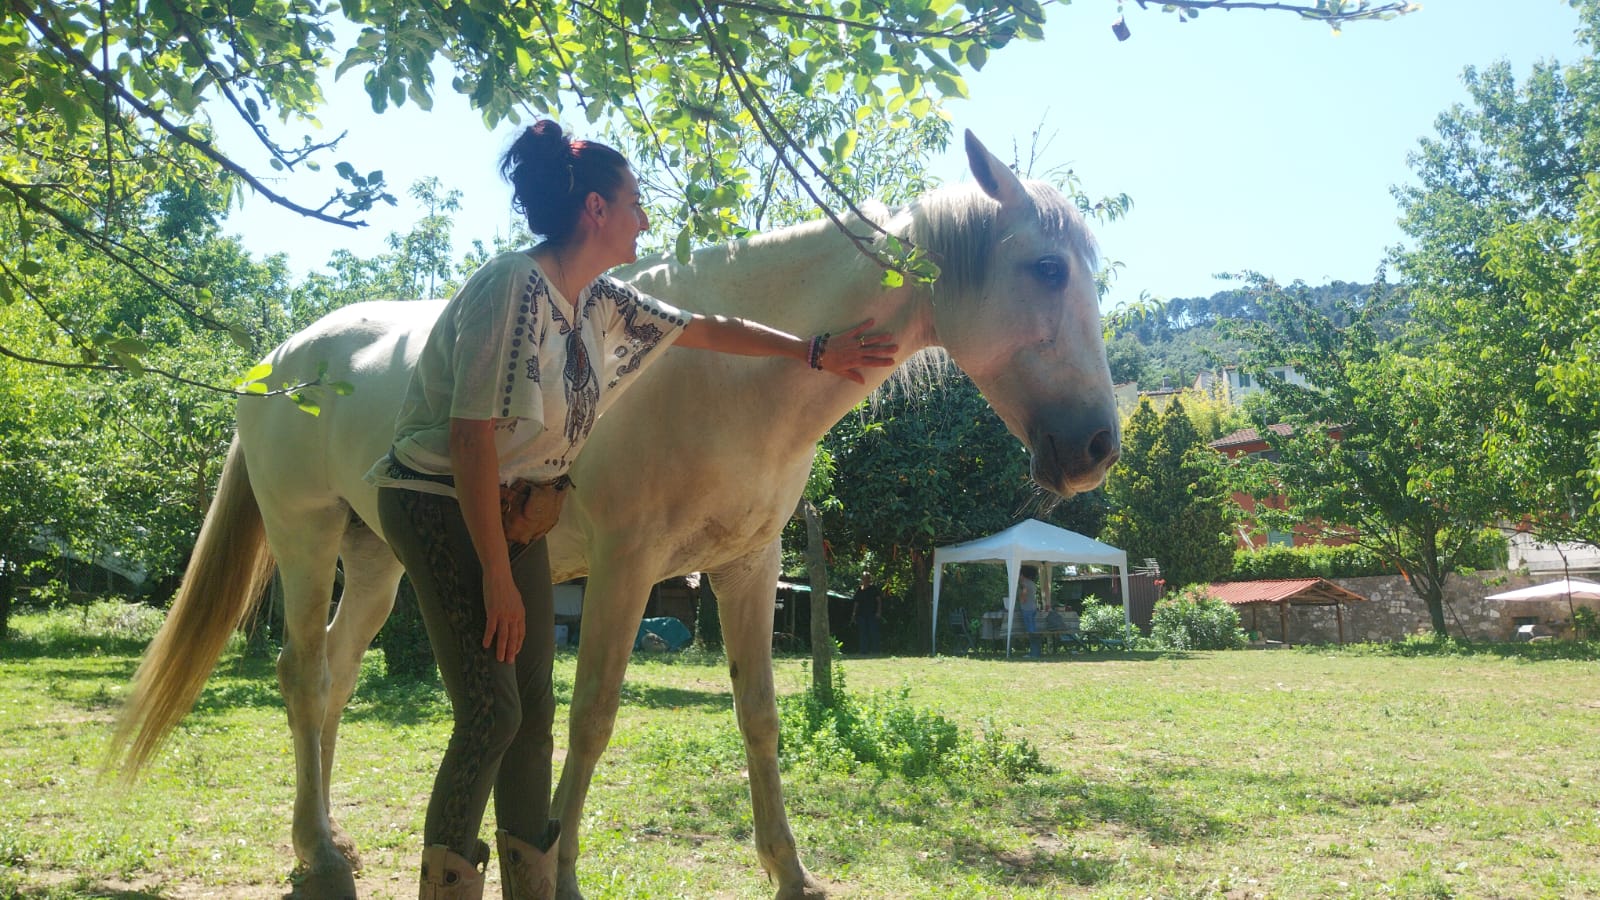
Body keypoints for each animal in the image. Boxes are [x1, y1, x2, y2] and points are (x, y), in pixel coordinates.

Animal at [109, 131, 1120, 899]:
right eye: (1045, 267)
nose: (1098, 447)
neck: (724, 378)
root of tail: (281, 357)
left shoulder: (748, 568)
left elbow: (760, 717)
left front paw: (791, 874)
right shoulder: (628, 569)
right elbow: (592, 716)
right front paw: (561, 871)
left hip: (381, 563)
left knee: (334, 680)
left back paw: (326, 839)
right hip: (307, 535)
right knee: (301, 673)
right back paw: (317, 855)